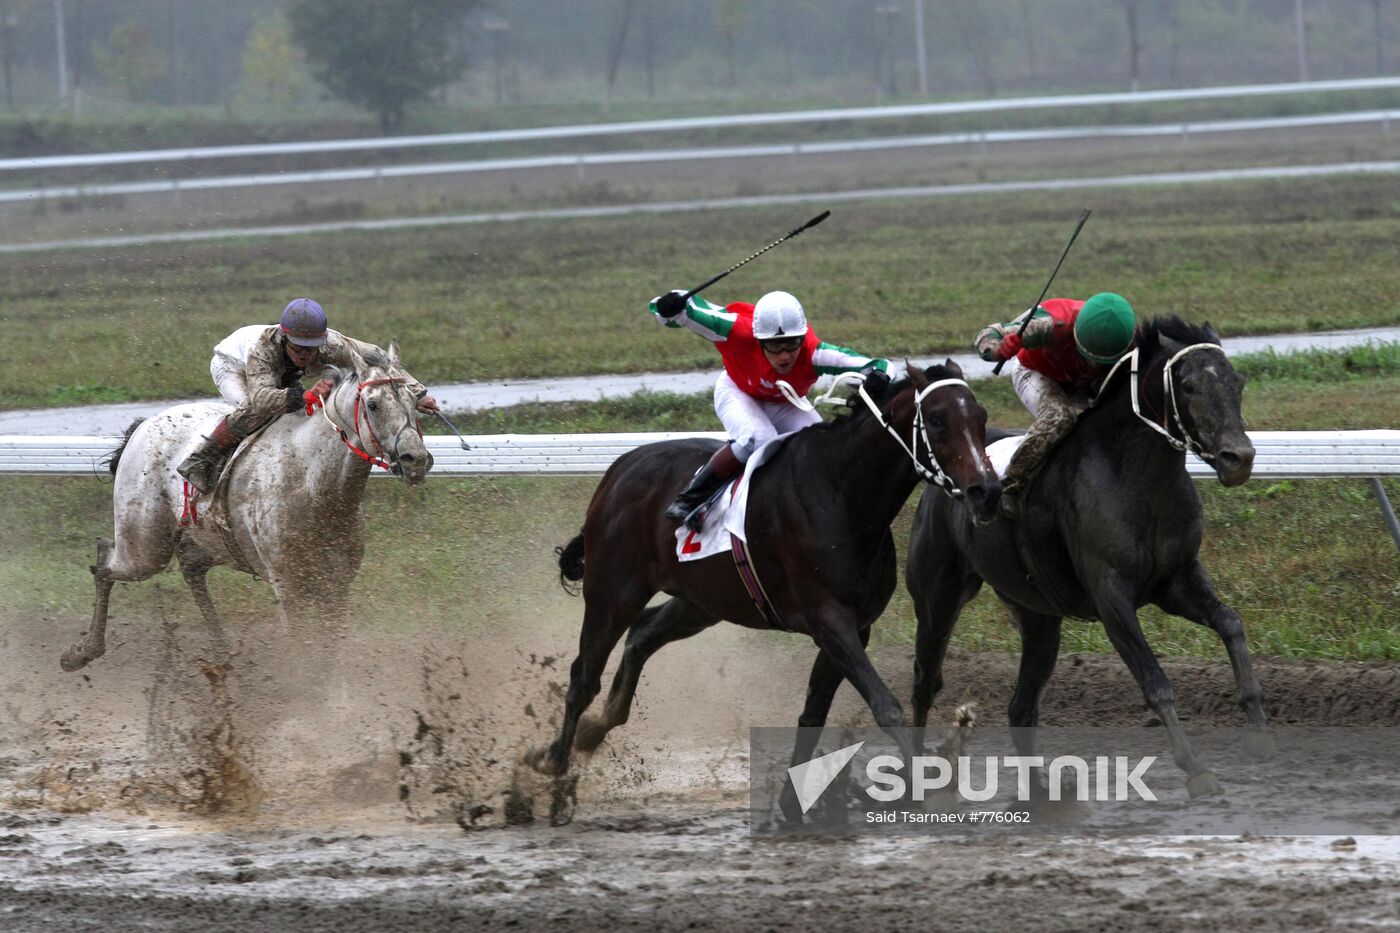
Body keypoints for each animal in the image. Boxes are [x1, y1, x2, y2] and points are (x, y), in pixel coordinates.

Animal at [526, 358, 996, 818]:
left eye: (981, 417)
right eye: (937, 420)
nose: (985, 490)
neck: (843, 496)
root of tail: (620, 467)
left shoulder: (854, 626)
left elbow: (813, 712)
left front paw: (792, 800)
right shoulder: (829, 620)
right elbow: (885, 707)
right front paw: (925, 783)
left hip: (702, 600)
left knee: (642, 635)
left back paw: (592, 731)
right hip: (614, 589)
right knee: (584, 674)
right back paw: (552, 761)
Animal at [901, 316, 1276, 795]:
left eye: (1238, 381)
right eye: (1189, 386)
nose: (1239, 458)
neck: (1138, 480)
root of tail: (945, 478)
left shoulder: (1177, 579)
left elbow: (1230, 622)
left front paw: (1258, 732)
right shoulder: (1110, 592)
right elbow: (1155, 681)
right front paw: (1196, 768)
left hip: (1038, 617)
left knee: (1021, 706)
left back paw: (1042, 788)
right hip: (938, 599)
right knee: (925, 681)